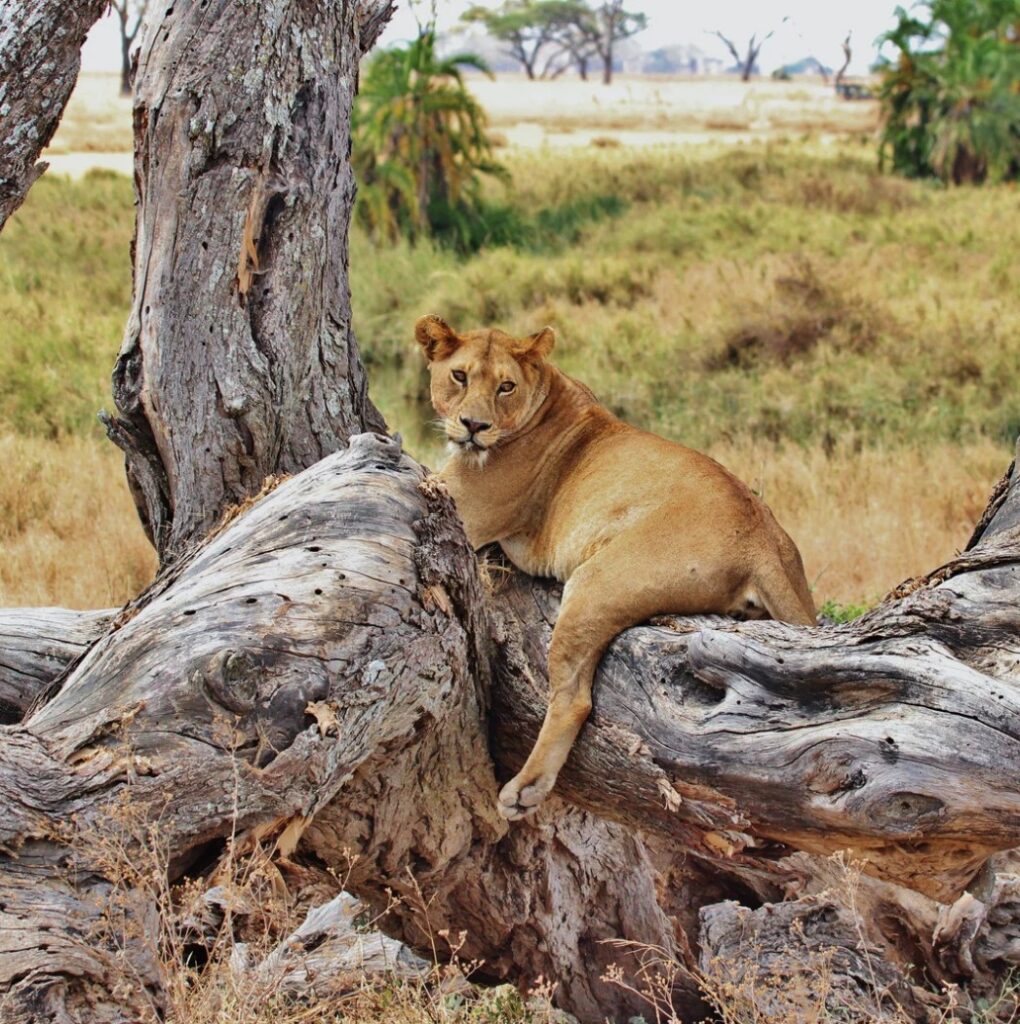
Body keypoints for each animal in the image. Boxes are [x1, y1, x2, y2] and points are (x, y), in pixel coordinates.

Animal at [415, 314, 816, 820]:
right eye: (460, 376)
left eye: (506, 386)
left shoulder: (461, 507)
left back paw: (525, 790)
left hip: (595, 582)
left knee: (574, 700)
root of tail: (760, 535)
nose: (473, 425)